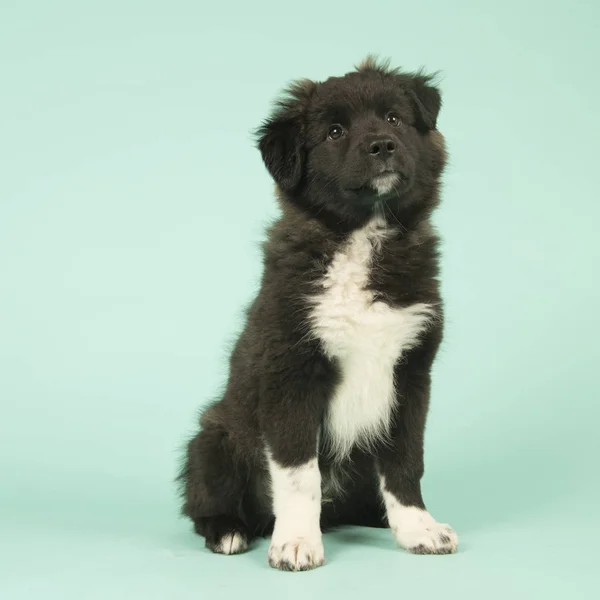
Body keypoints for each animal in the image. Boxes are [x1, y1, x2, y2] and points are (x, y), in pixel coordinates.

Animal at [180, 56, 458, 572]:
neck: (362, 236)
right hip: (214, 437)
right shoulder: (290, 372)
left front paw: (418, 528)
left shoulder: (412, 371)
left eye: (393, 118)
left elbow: (406, 460)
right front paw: (295, 543)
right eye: (333, 132)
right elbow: (298, 473)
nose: (382, 145)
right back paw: (229, 530)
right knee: (205, 499)